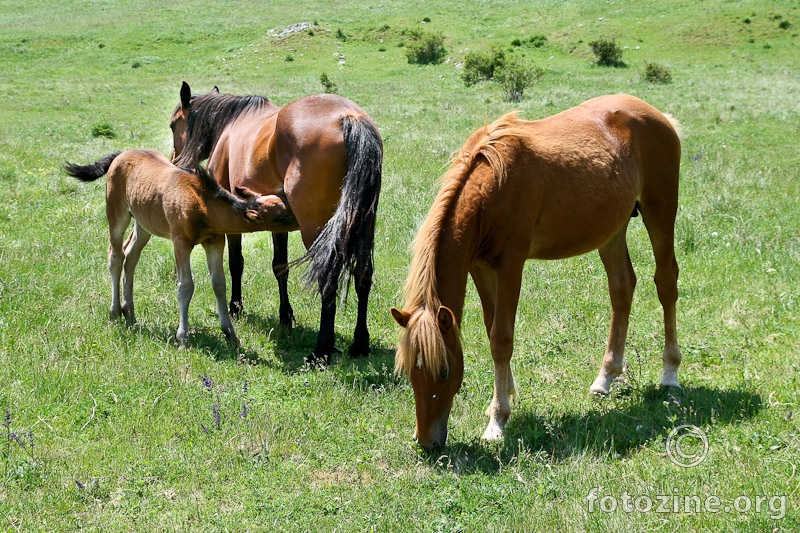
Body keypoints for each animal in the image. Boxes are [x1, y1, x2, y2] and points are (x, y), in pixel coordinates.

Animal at [64, 150, 296, 348]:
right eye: (282, 215)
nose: (299, 217)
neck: (203, 205)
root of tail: (121, 154)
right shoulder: (180, 242)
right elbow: (185, 286)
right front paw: (183, 337)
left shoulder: (215, 242)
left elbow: (219, 284)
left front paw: (230, 334)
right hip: (117, 213)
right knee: (116, 256)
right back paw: (115, 311)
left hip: (144, 223)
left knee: (131, 255)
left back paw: (129, 311)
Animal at [170, 82, 382, 366]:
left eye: (173, 125)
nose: (173, 160)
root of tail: (349, 118)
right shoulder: (278, 225)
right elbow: (280, 268)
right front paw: (286, 317)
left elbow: (235, 263)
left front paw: (235, 307)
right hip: (362, 226)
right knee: (363, 275)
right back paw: (360, 344)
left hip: (317, 232)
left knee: (328, 278)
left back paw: (321, 350)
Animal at [390, 93, 684, 446]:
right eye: (409, 371)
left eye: (445, 371)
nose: (427, 442)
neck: (491, 185)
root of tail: (659, 116)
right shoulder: (480, 267)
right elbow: (490, 329)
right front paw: (505, 396)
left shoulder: (511, 265)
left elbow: (501, 338)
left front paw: (497, 420)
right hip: (612, 230)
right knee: (622, 288)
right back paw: (605, 378)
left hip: (660, 210)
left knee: (665, 284)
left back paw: (670, 374)